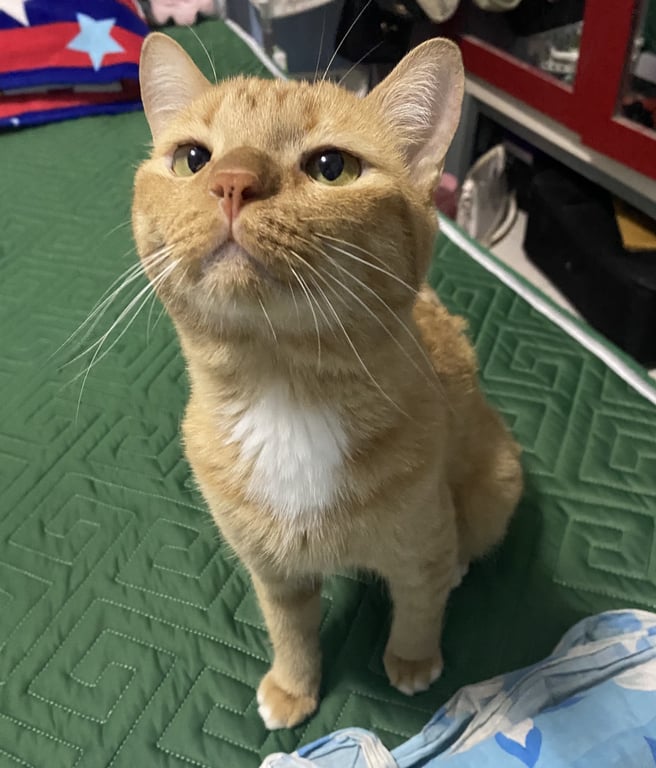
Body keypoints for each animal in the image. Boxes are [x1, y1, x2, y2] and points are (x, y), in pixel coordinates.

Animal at [132, 32, 523, 730]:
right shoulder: (271, 571)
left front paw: (412, 661)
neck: (285, 393)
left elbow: (419, 607)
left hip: (491, 491)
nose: (232, 182)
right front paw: (293, 686)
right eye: (193, 159)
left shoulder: (421, 544)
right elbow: (290, 630)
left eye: (331, 167)